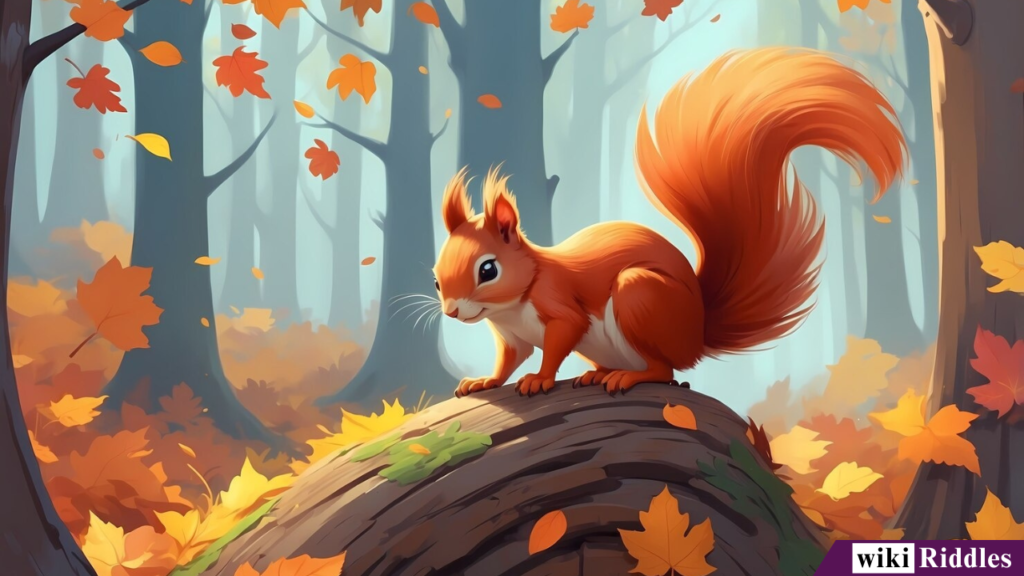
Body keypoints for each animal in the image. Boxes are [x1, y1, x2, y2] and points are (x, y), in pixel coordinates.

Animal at [433, 48, 905, 398]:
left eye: (488, 270)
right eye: (436, 278)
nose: (452, 311)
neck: (513, 304)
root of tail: (695, 335)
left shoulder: (561, 305)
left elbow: (557, 342)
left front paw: (540, 379)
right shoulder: (509, 337)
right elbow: (506, 360)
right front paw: (484, 380)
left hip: (641, 296)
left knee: (664, 370)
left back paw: (628, 376)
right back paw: (596, 372)